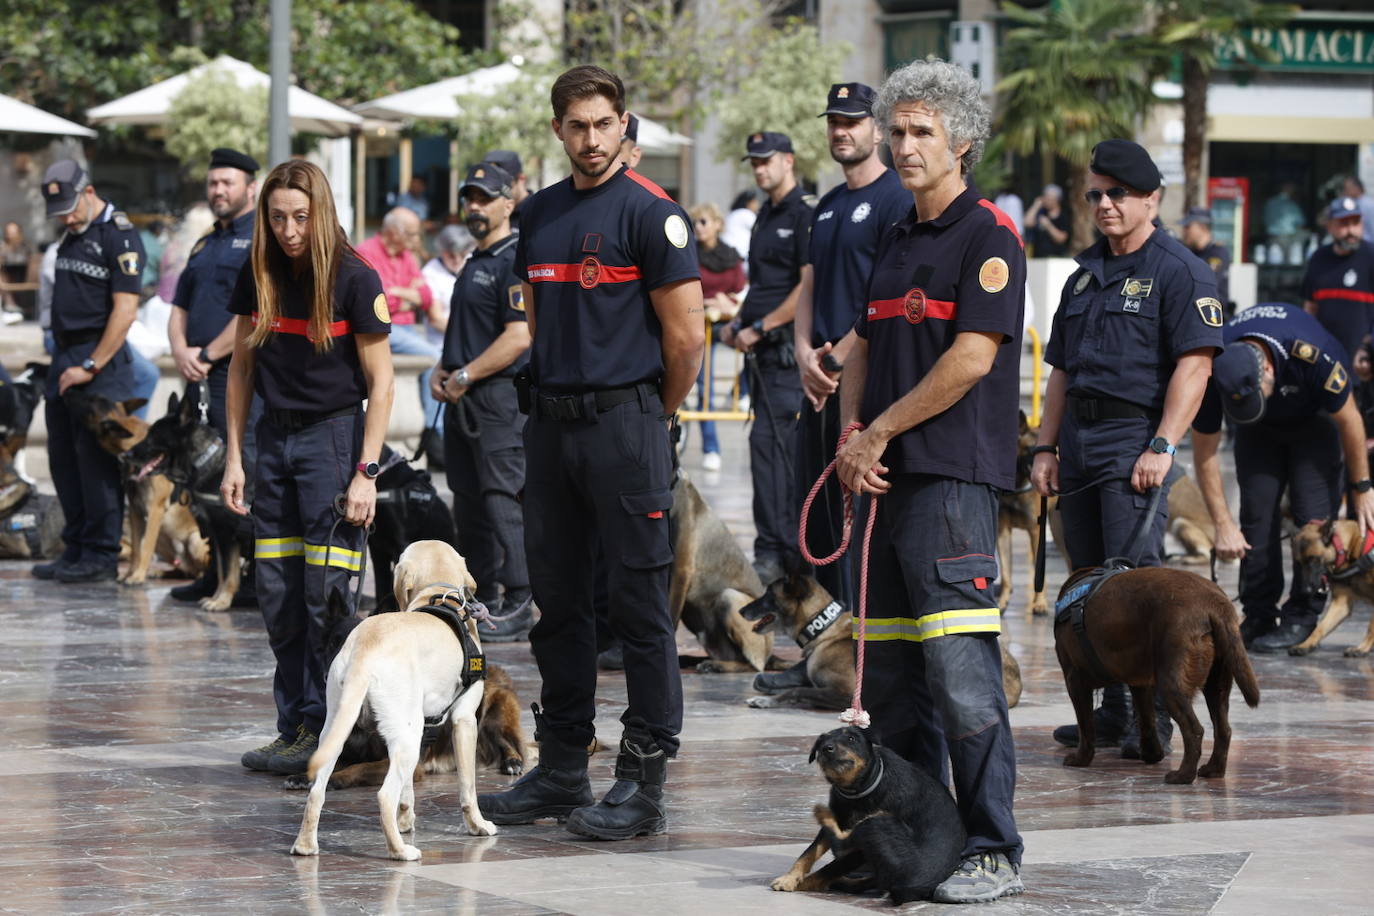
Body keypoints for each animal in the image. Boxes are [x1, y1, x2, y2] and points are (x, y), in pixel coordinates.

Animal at [291, 538, 500, 862]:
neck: (440, 598)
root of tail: (364, 652)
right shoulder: (464, 721)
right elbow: (468, 787)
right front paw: (477, 825)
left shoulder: (420, 730)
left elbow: (408, 792)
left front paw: (405, 821)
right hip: (407, 737)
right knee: (384, 794)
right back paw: (399, 851)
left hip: (344, 733)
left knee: (317, 791)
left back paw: (305, 845)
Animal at [774, 725, 967, 906]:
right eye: (822, 742)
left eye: (851, 738)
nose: (826, 748)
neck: (855, 790)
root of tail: (909, 889)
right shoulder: (839, 815)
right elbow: (809, 853)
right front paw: (789, 878)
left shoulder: (860, 849)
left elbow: (829, 868)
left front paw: (800, 883)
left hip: (879, 821)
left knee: (842, 846)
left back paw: (823, 815)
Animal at [1055, 568, 1258, 785]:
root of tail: (1215, 604)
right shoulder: (1140, 683)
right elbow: (1147, 720)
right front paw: (1152, 754)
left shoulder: (1074, 680)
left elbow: (1085, 727)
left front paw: (1080, 759)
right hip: (1217, 683)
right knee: (1223, 729)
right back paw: (1213, 769)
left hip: (1171, 683)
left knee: (1194, 729)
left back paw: (1183, 775)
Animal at [1286, 516, 1374, 659]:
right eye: (1299, 562)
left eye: (1314, 559)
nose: (1305, 591)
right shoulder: (1340, 605)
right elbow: (1320, 627)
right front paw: (1305, 645)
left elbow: (1371, 627)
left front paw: (1362, 648)